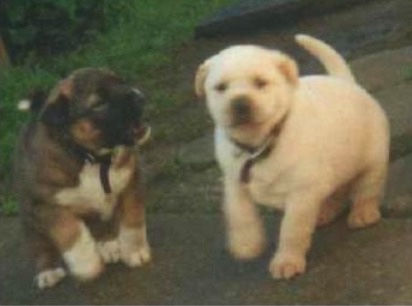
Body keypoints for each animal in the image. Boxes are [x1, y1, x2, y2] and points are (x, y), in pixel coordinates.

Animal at [15, 67, 153, 290]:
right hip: (30, 216)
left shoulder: (130, 180)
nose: (139, 96)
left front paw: (135, 251)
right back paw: (48, 270)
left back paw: (108, 245)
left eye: (122, 82)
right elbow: (70, 231)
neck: (91, 158)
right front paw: (86, 264)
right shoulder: (47, 205)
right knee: (40, 245)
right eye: (98, 103)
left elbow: (133, 219)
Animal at [195, 34, 388, 280]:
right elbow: (239, 214)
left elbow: (292, 229)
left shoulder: (301, 194)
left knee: (367, 188)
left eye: (260, 83)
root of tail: (345, 81)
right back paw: (325, 212)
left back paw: (363, 213)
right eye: (220, 88)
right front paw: (246, 243)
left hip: (373, 160)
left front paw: (287, 260)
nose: (240, 103)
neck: (260, 143)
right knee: (335, 191)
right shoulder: (235, 182)